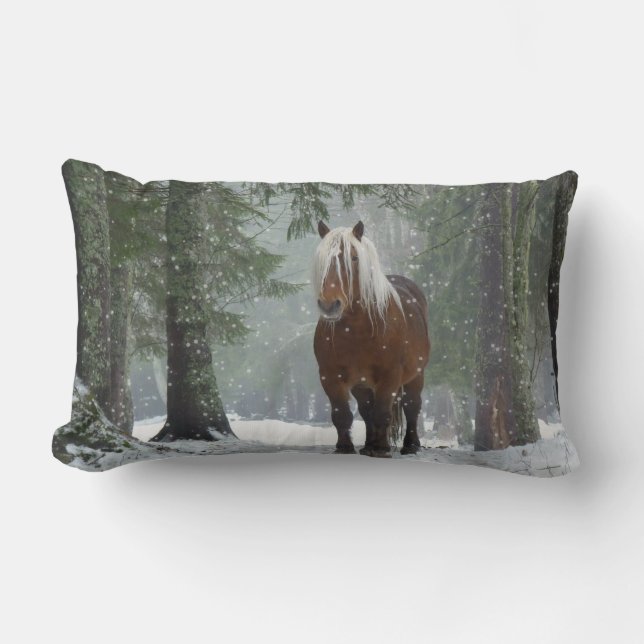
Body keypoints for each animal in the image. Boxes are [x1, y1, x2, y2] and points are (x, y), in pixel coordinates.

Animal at [312, 220, 430, 458]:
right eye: (322, 259)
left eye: (354, 258)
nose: (329, 305)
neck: (358, 331)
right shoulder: (329, 376)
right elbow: (342, 414)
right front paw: (344, 447)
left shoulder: (390, 375)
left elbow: (383, 413)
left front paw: (382, 449)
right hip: (362, 384)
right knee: (367, 411)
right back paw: (368, 445)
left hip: (416, 375)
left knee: (412, 406)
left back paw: (410, 445)